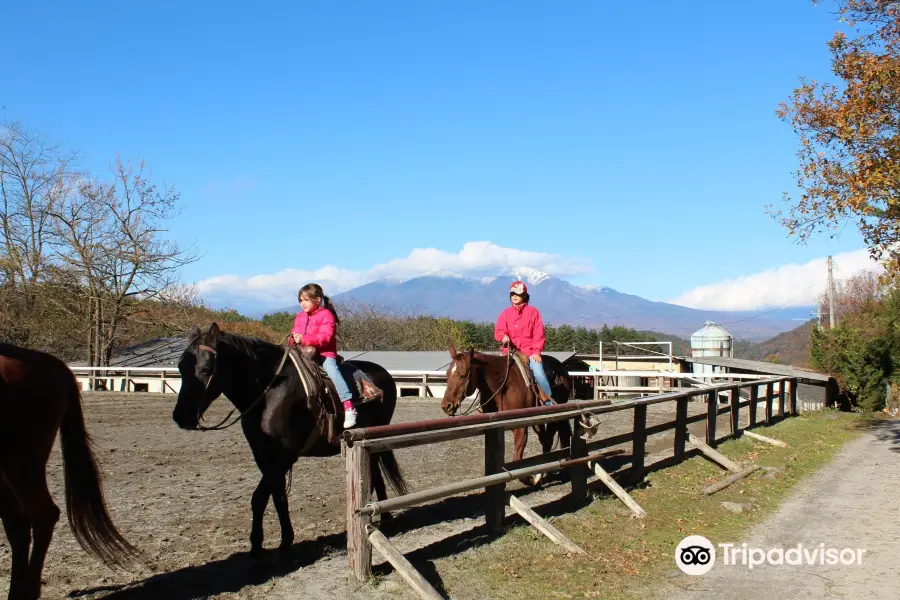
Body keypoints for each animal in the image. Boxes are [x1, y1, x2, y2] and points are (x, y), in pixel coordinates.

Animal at [171, 324, 408, 556]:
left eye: (205, 369)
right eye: (181, 367)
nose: (181, 417)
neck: (268, 393)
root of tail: (383, 374)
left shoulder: (286, 456)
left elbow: (265, 496)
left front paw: (273, 542)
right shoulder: (263, 455)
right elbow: (273, 496)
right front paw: (269, 543)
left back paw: (385, 516)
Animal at [442, 344, 572, 486]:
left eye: (462, 375)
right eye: (447, 374)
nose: (446, 406)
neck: (502, 385)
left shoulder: (521, 426)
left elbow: (517, 460)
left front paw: (529, 478)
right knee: (547, 439)